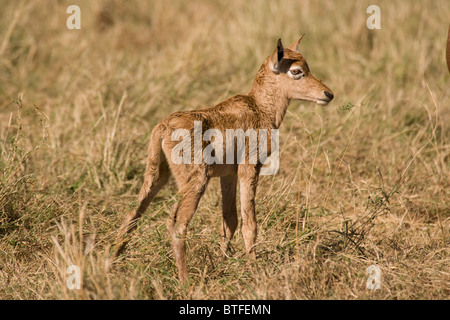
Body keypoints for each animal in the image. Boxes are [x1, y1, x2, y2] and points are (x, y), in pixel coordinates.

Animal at [114, 35, 334, 284]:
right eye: (296, 71)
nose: (328, 94)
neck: (258, 108)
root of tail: (163, 127)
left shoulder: (228, 174)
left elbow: (230, 220)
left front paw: (223, 261)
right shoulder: (250, 168)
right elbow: (250, 222)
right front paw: (254, 268)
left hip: (157, 175)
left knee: (133, 214)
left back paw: (111, 262)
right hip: (196, 181)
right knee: (177, 225)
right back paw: (185, 281)